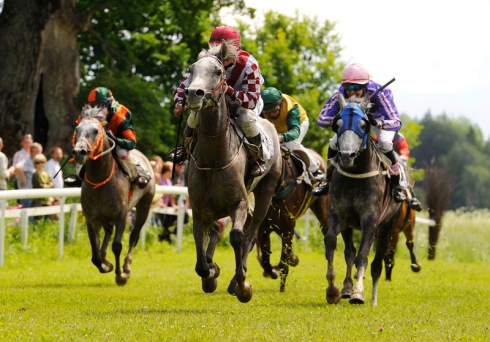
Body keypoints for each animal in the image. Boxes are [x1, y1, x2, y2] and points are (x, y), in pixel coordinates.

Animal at [71, 106, 154, 286]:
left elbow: (117, 245)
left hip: (144, 205)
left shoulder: (121, 214)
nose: (79, 152)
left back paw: (127, 266)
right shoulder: (91, 219)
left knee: (134, 236)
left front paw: (121, 275)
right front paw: (106, 264)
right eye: (77, 129)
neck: (100, 179)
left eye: (95, 131)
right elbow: (94, 255)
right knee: (108, 231)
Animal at [184, 40, 282, 302]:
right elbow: (200, 247)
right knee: (218, 230)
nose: (193, 93)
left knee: (251, 233)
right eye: (191, 69)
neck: (215, 156)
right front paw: (210, 274)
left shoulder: (238, 202)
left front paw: (242, 284)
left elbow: (238, 237)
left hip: (266, 191)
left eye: (218, 72)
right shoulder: (199, 206)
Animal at [256, 147, 330, 292]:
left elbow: (283, 260)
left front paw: (282, 287)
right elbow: (266, 259)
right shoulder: (264, 228)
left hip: (323, 210)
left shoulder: (288, 227)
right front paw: (273, 271)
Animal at [326, 92, 402, 306]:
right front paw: (333, 290)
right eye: (337, 124)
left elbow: (363, 256)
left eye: (363, 125)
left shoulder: (370, 219)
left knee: (376, 263)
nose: (346, 155)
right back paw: (346, 288)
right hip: (350, 225)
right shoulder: (339, 215)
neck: (356, 174)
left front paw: (358, 293)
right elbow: (331, 243)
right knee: (349, 253)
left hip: (388, 226)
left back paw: (373, 299)